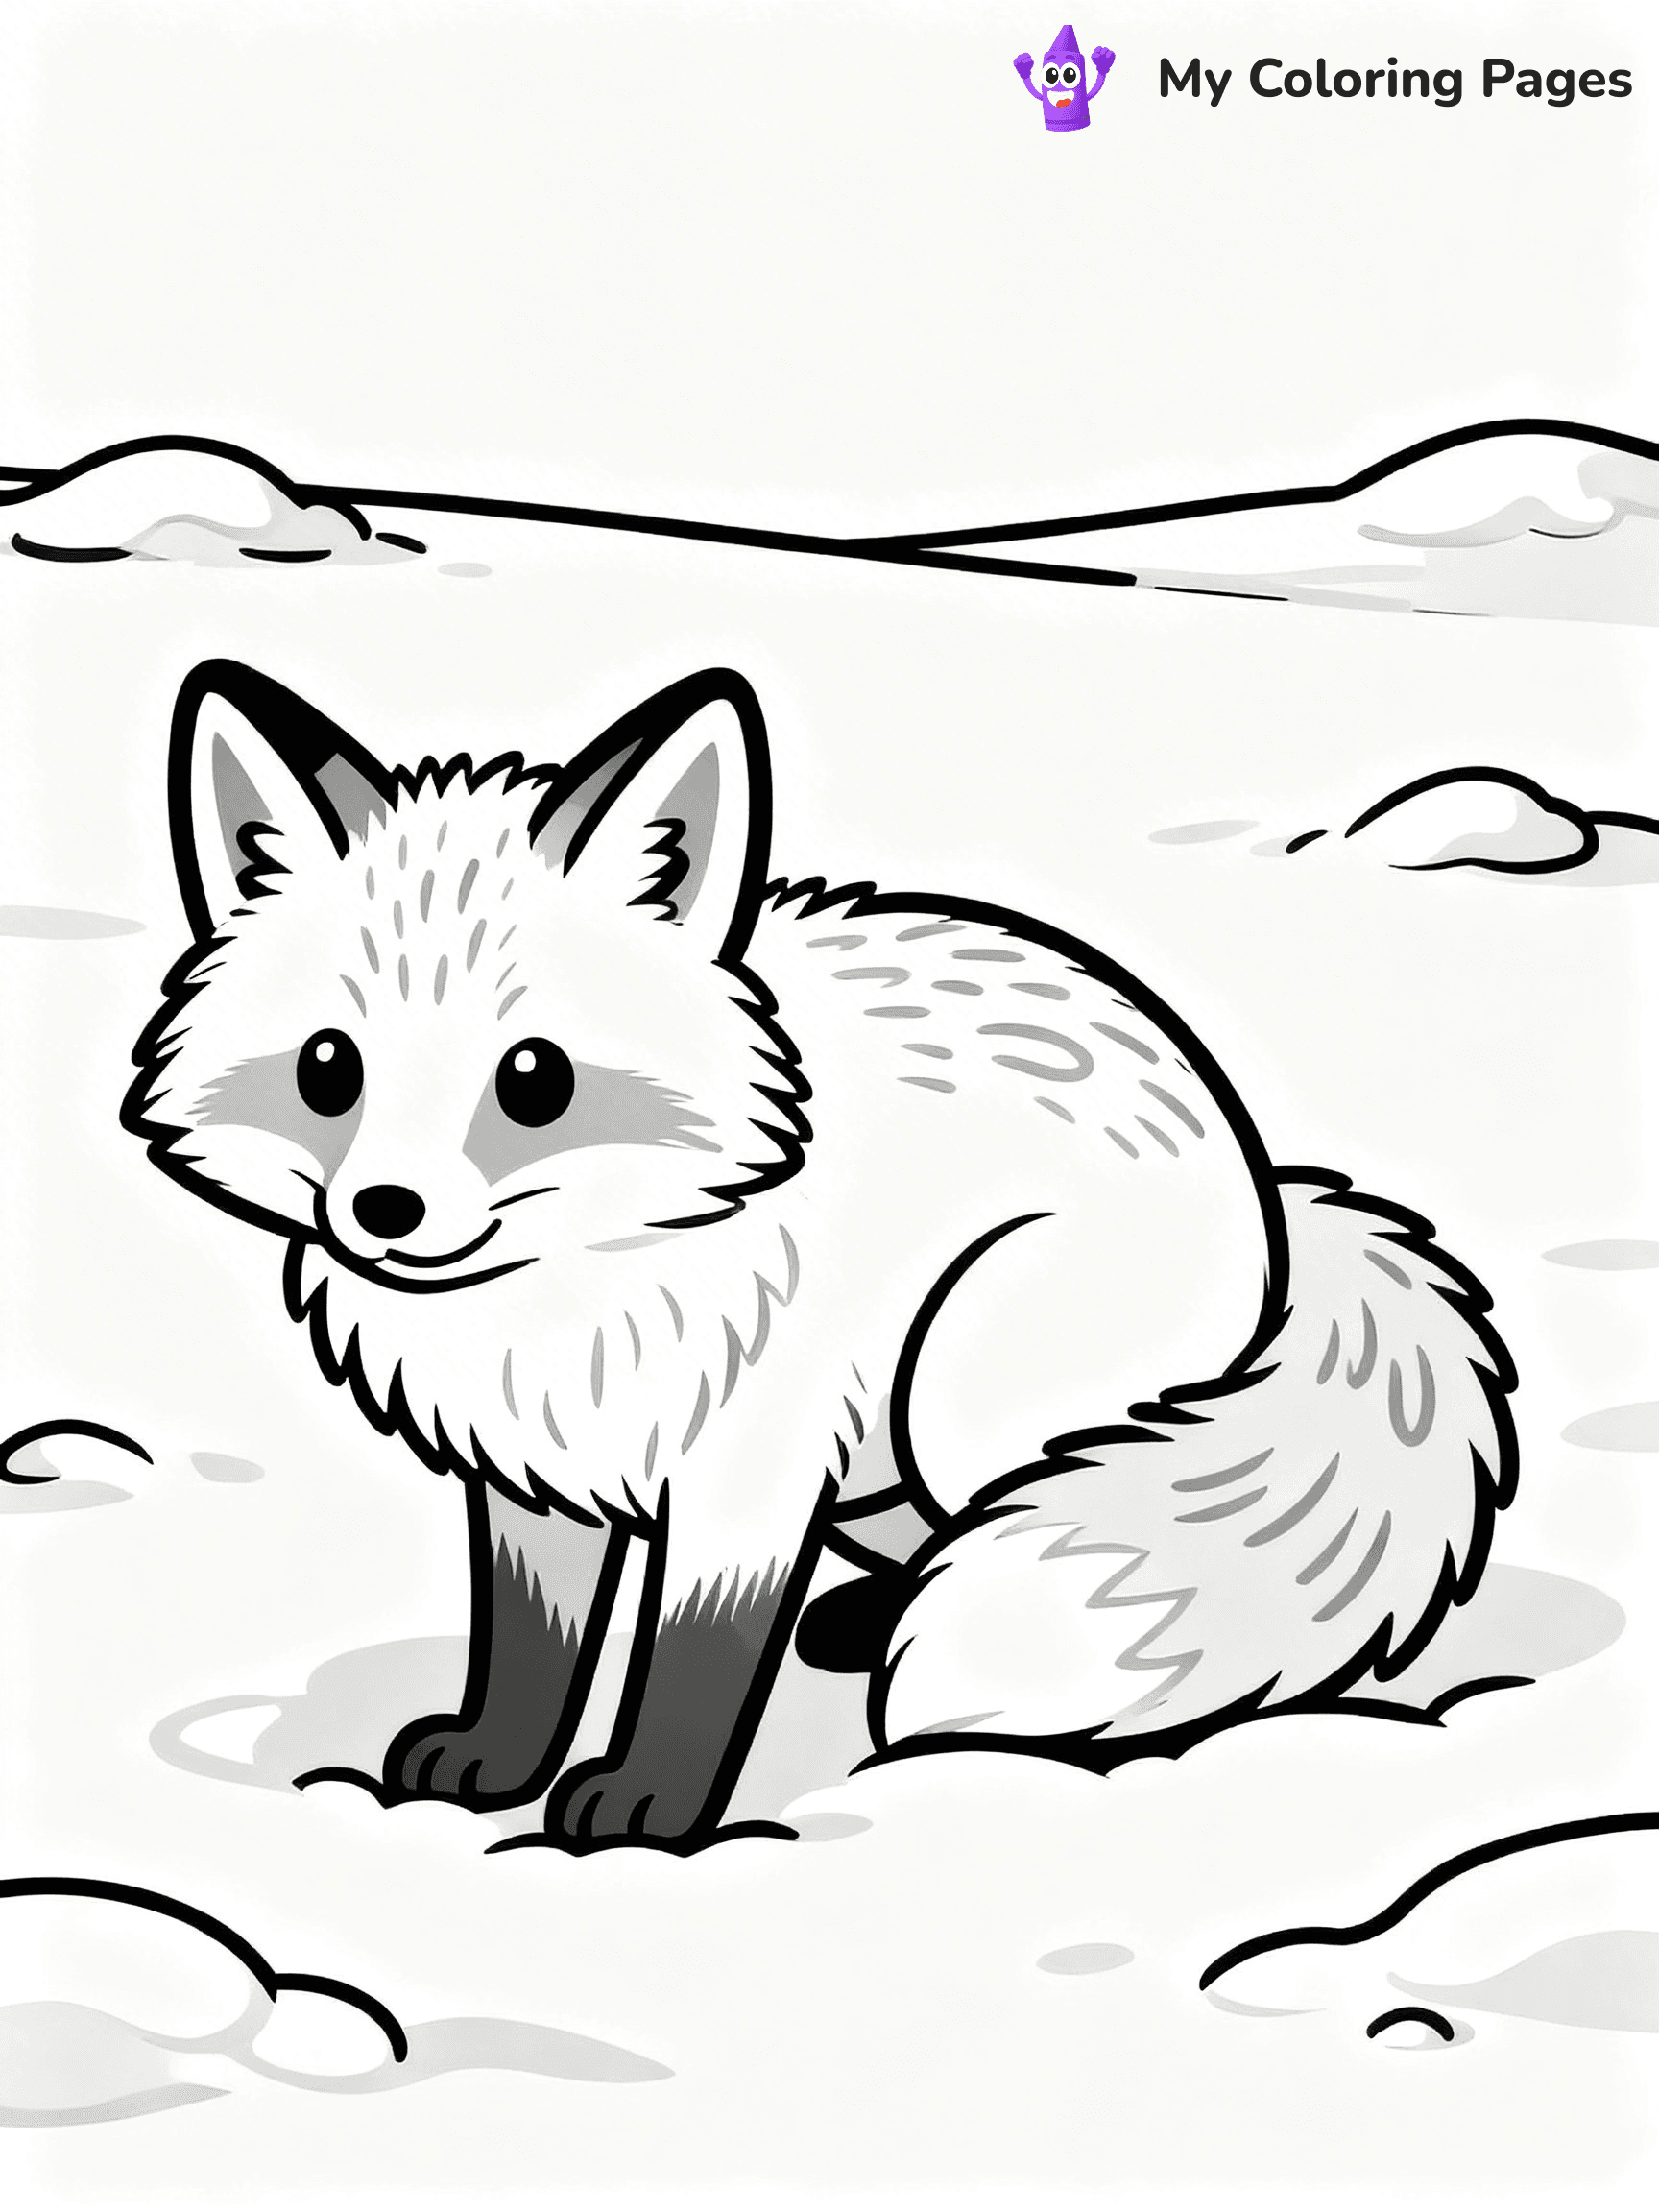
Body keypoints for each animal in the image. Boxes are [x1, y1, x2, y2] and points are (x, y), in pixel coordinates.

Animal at [125, 659, 1518, 1852]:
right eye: (328, 1069)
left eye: (532, 1080)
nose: (386, 1211)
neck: (577, 1288)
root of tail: (1275, 1201)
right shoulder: (537, 1467)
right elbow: (530, 1646)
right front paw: (497, 1763)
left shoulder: (748, 1466)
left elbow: (693, 1659)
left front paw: (649, 1807)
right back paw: (864, 1622)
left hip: (950, 1387)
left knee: (1017, 1505)